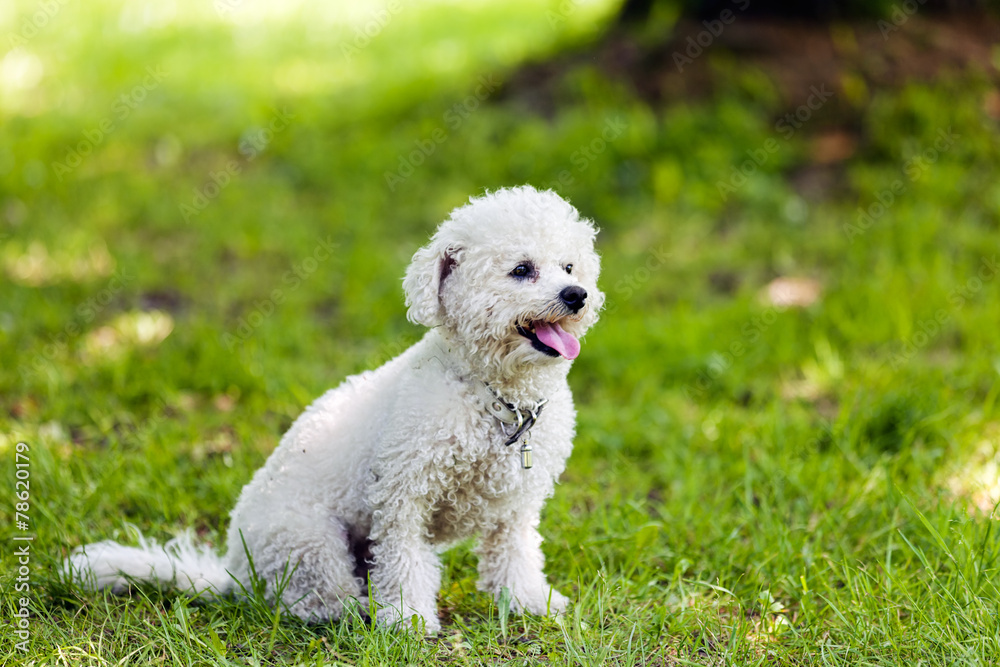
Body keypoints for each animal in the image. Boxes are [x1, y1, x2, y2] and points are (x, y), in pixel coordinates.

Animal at [70, 185, 604, 636]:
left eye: (569, 267)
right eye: (521, 270)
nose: (576, 295)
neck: (495, 396)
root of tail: (233, 570)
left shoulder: (515, 508)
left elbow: (514, 556)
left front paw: (528, 602)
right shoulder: (403, 499)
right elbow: (404, 563)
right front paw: (408, 621)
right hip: (308, 540)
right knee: (311, 601)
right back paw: (356, 610)